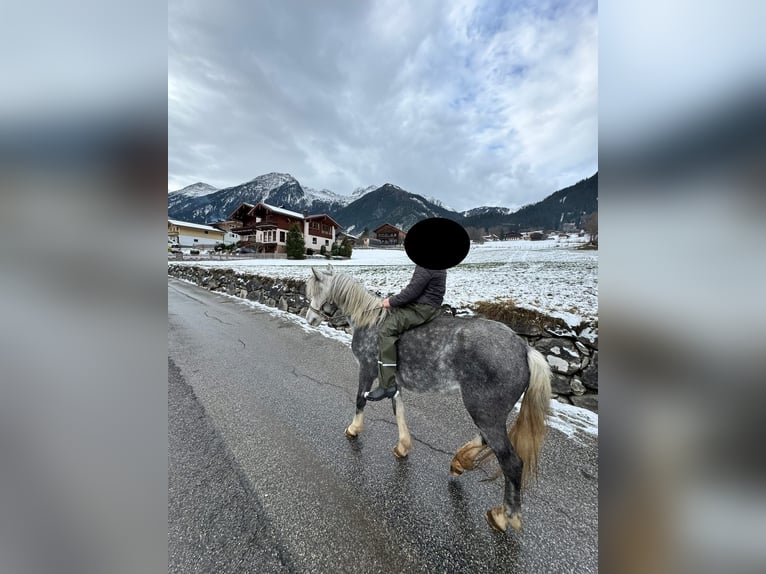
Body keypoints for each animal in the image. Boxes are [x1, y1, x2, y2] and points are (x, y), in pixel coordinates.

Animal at [306, 268, 552, 532]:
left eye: (317, 291)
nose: (310, 319)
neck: (370, 321)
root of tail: (525, 350)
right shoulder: (393, 383)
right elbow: (398, 410)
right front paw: (403, 446)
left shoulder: (367, 370)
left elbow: (360, 400)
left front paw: (353, 429)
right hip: (489, 413)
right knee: (487, 440)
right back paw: (459, 462)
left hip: (484, 411)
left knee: (511, 462)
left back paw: (504, 516)